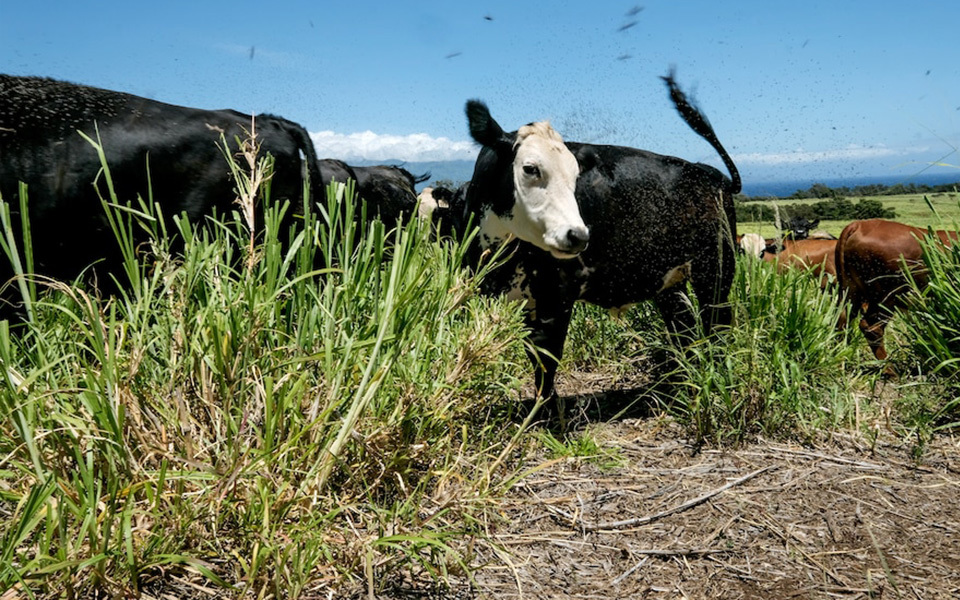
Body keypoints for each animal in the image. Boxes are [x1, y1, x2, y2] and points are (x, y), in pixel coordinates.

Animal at [454, 70, 740, 408]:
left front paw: (545, 411)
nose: (577, 235)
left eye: (575, 176)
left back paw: (715, 378)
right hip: (670, 281)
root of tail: (708, 173)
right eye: (530, 168)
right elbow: (535, 355)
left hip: (715, 270)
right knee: (682, 326)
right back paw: (679, 385)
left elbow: (547, 358)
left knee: (716, 321)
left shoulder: (557, 295)